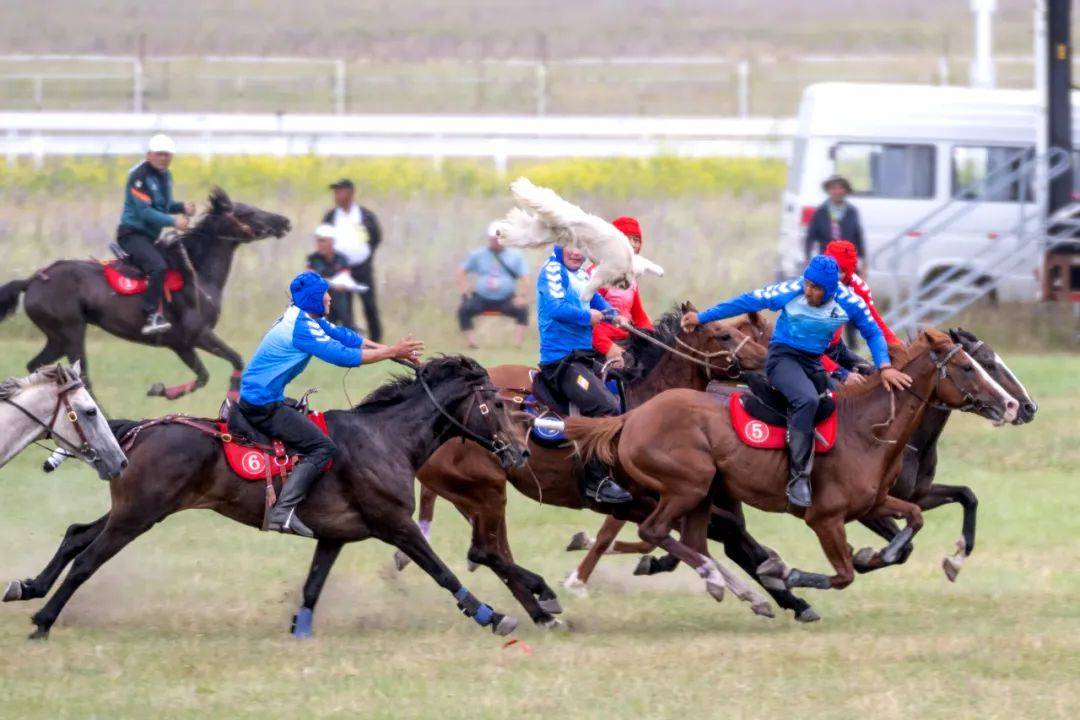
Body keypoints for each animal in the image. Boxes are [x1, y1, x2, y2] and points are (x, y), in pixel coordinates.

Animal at [0, 188, 291, 403]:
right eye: (247, 212)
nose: (284, 222)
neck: (197, 273)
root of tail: (34, 280)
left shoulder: (181, 344)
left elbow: (203, 376)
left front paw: (161, 390)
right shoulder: (199, 335)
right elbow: (235, 359)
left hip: (57, 337)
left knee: (35, 366)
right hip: (72, 332)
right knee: (81, 378)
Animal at [2, 358, 533, 639]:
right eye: (497, 404)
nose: (521, 451)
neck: (385, 437)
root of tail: (139, 430)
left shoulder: (335, 536)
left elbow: (313, 586)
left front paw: (300, 630)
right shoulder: (395, 524)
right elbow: (443, 572)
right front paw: (492, 614)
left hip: (135, 509)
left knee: (76, 535)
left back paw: (27, 587)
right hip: (139, 514)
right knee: (87, 559)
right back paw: (43, 620)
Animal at [287, 306, 825, 634]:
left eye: (761, 332)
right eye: (724, 333)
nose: (769, 369)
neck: (647, 400)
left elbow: (736, 541)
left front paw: (790, 593)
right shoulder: (645, 501)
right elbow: (719, 540)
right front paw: (771, 588)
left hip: (480, 496)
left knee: (492, 553)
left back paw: (540, 604)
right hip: (486, 490)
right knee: (487, 552)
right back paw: (540, 603)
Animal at [492, 179, 660, 300]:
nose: (626, 286)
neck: (628, 266)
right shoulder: (607, 270)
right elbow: (591, 287)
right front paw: (585, 298)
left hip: (542, 234)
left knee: (525, 235)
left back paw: (502, 233)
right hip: (559, 214)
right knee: (542, 199)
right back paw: (517, 186)